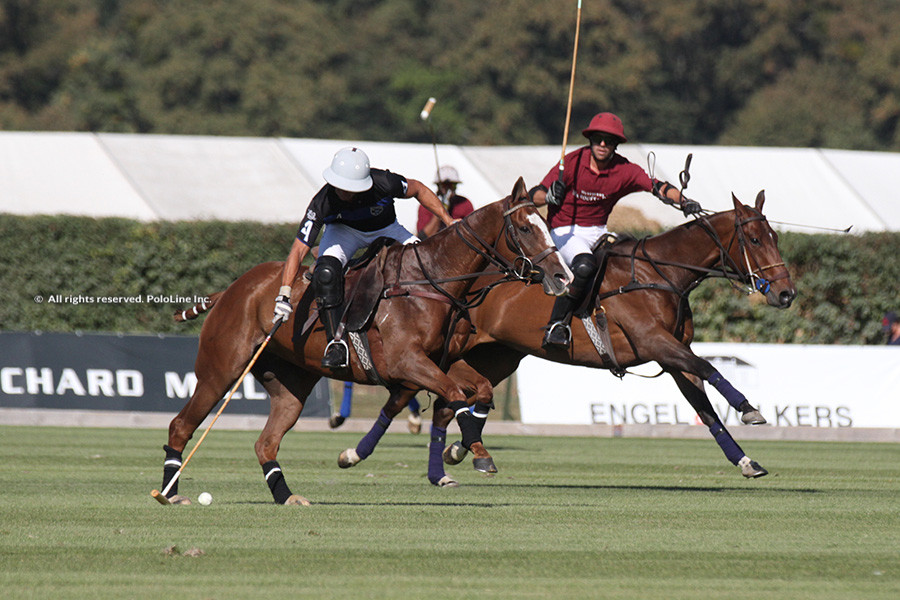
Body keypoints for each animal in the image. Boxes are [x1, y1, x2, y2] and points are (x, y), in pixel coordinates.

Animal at [160, 177, 568, 502]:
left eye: (546, 224)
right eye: (525, 228)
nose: (562, 277)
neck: (432, 283)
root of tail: (231, 289)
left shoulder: (443, 361)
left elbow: (479, 389)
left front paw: (464, 450)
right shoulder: (407, 363)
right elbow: (452, 394)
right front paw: (475, 454)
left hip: (291, 385)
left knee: (265, 442)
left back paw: (287, 496)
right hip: (221, 369)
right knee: (182, 425)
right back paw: (170, 493)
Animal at [342, 192, 800, 488]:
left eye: (776, 237)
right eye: (754, 239)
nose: (786, 293)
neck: (661, 274)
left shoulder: (672, 356)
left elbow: (705, 409)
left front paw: (747, 461)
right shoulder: (655, 342)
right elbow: (707, 367)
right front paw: (751, 410)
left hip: (498, 354)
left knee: (448, 397)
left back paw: (459, 451)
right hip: (451, 350)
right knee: (424, 393)